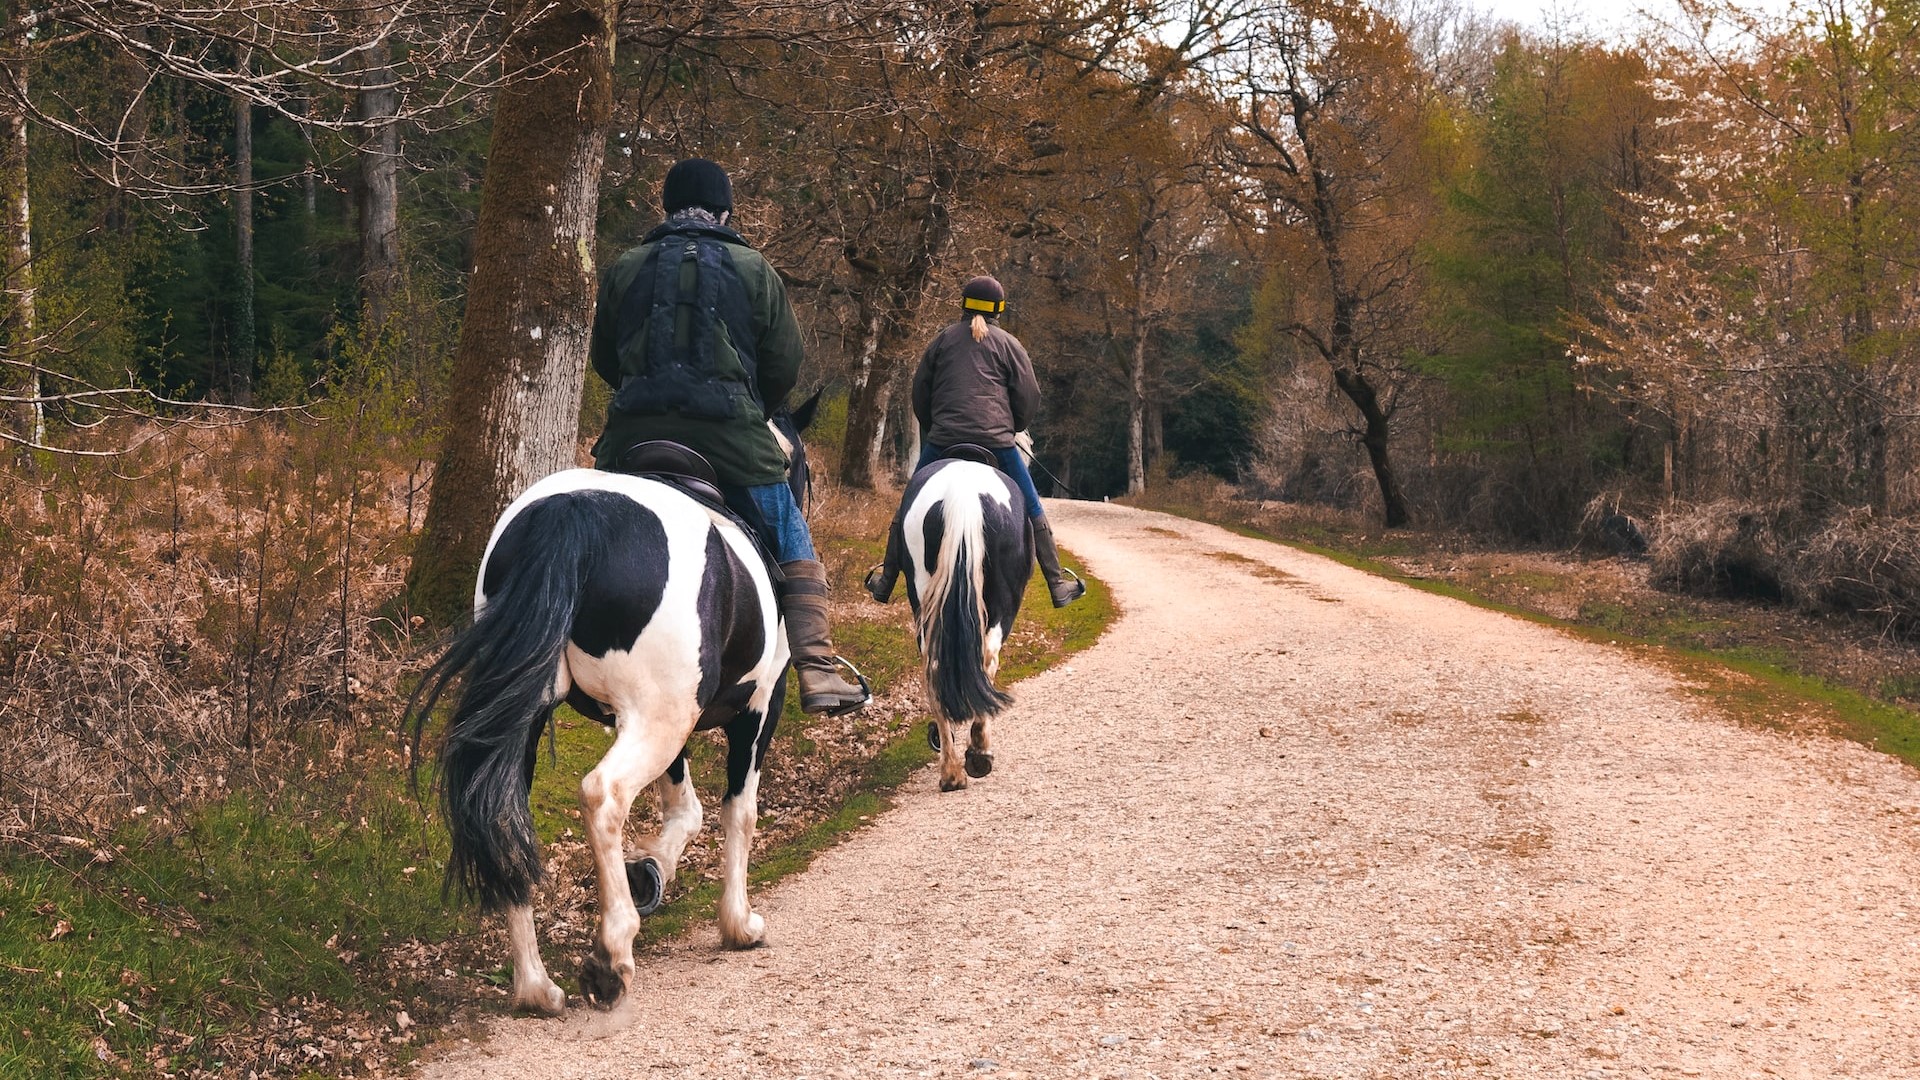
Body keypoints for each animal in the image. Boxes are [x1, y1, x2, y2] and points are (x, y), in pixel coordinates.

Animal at [412, 395, 817, 1006]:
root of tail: (573, 513)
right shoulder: (757, 709)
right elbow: (737, 813)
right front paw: (738, 923)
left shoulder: (673, 724)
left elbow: (687, 809)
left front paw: (649, 872)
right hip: (657, 720)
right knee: (604, 796)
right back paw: (611, 954)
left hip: (540, 718)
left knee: (504, 813)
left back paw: (535, 986)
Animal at [894, 453, 1036, 791]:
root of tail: (962, 496)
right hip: (1002, 603)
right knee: (987, 660)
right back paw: (978, 753)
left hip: (925, 599)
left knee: (933, 667)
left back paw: (950, 771)